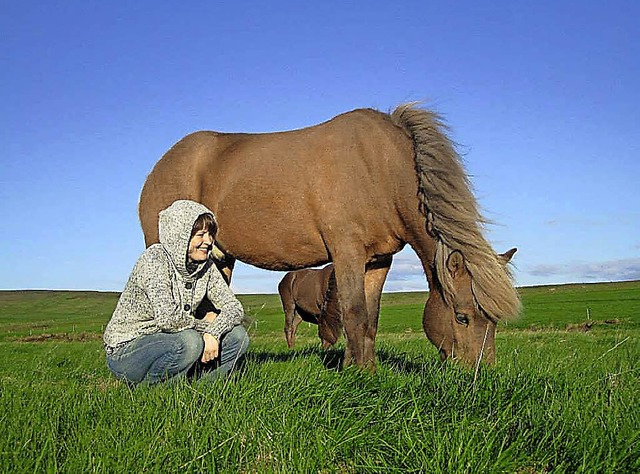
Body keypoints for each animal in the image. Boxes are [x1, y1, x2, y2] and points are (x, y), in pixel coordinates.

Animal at [140, 103, 520, 370]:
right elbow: (354, 313)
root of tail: (159, 167)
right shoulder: (346, 253)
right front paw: (361, 374)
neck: (379, 168)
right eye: (462, 316)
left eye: (494, 320)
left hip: (218, 259)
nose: (482, 374)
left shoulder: (378, 262)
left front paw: (363, 367)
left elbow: (370, 319)